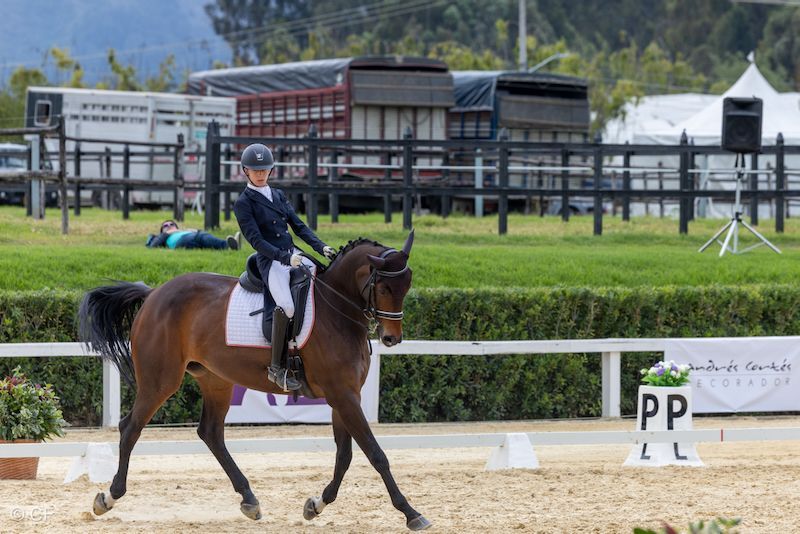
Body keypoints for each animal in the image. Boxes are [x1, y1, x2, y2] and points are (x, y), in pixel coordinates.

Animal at [79, 230, 432, 532]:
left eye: (407, 286)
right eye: (384, 288)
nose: (391, 338)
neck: (337, 311)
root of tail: (154, 293)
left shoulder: (344, 397)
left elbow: (344, 456)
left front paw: (316, 504)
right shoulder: (343, 396)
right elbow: (375, 454)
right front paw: (411, 513)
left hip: (216, 380)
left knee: (211, 433)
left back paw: (249, 499)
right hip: (160, 381)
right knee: (131, 427)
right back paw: (108, 497)